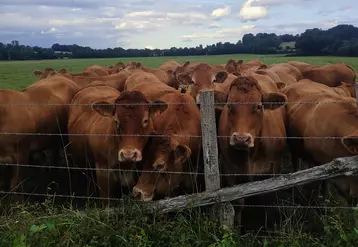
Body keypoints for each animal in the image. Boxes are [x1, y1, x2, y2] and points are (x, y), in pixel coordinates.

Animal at [215, 76, 288, 231]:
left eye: (258, 106)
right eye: (229, 106)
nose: (241, 139)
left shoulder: (273, 167)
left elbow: (269, 200)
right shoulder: (229, 168)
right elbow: (238, 202)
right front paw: (237, 228)